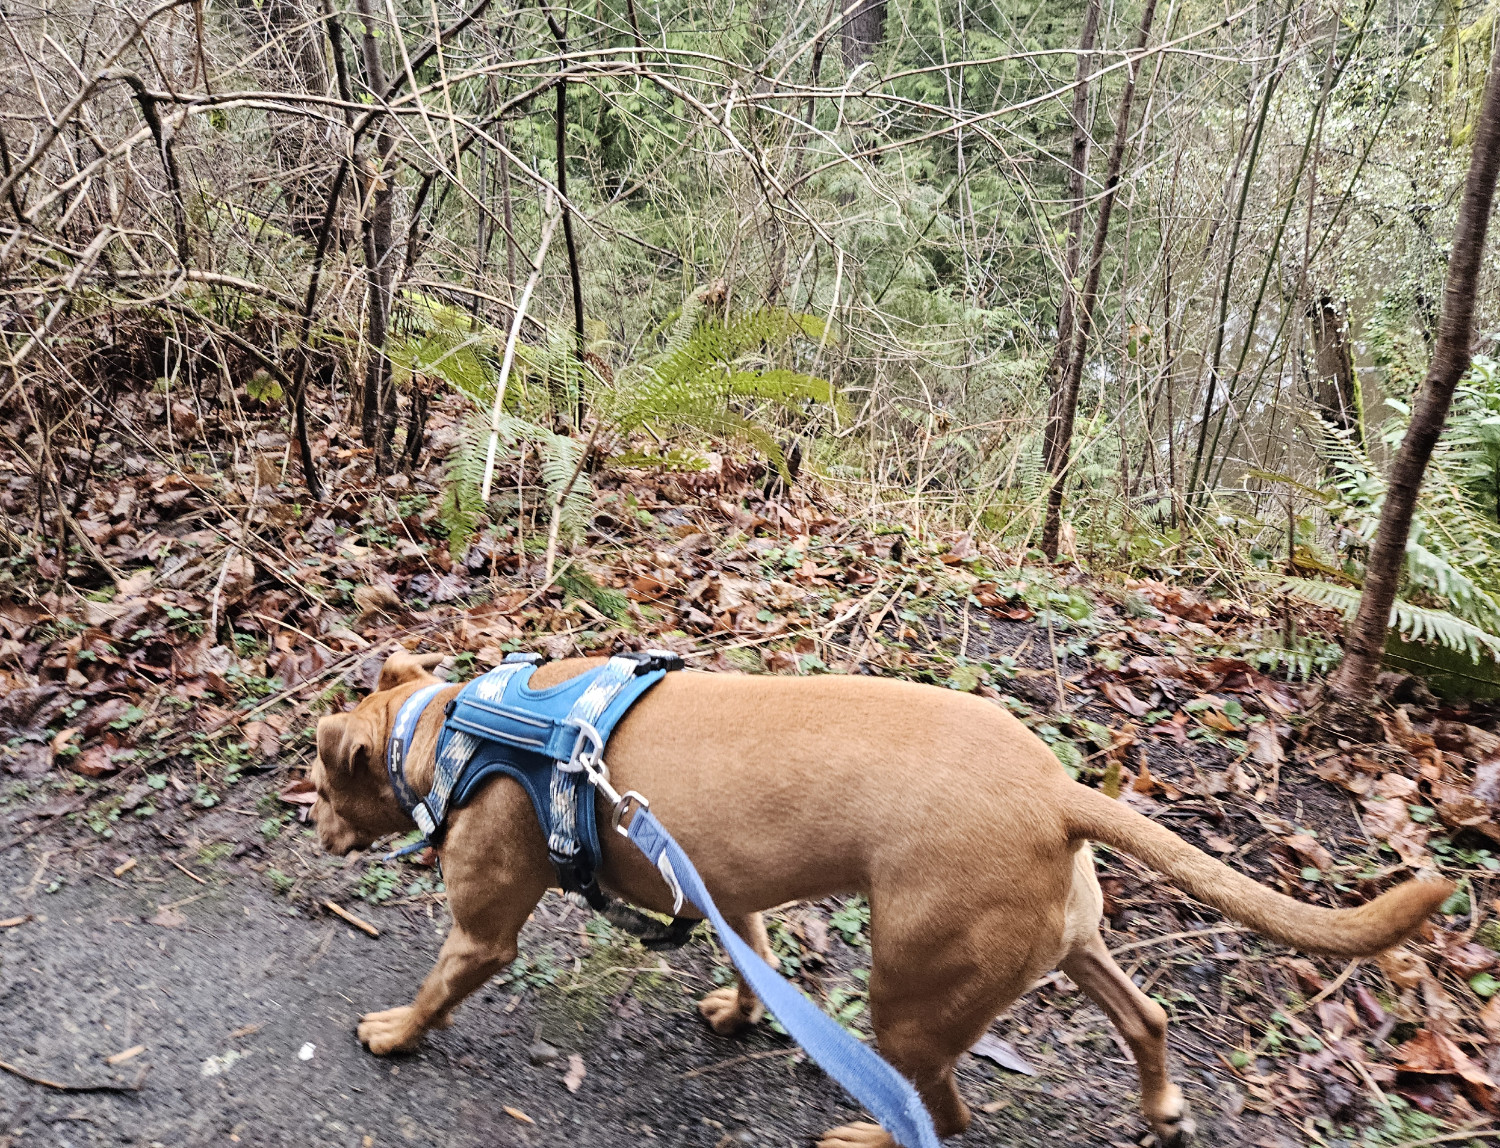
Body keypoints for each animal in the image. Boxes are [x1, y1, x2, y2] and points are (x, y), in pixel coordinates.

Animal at [316, 654, 1452, 1146]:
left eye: (322, 781)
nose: (317, 831)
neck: (452, 728)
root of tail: (1055, 789)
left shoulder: (485, 929)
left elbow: (442, 983)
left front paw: (395, 1031)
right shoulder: (726, 889)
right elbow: (754, 958)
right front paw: (739, 1010)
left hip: (912, 994)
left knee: (944, 1116)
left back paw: (867, 1138)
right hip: (1068, 943)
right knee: (1147, 1016)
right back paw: (1161, 1104)